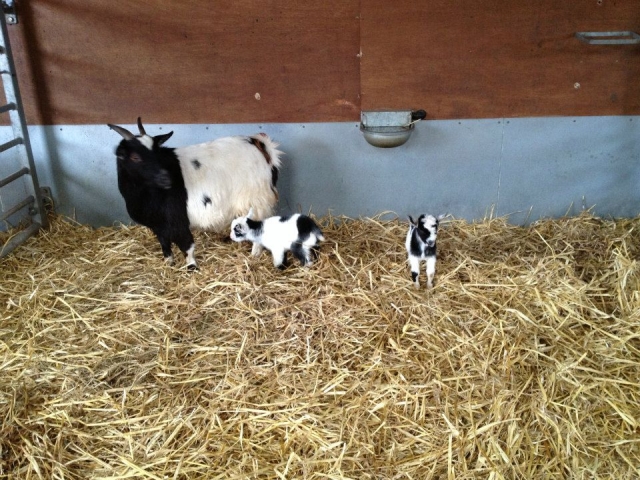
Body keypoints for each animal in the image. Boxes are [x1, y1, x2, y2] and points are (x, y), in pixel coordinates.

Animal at [108, 118, 282, 270]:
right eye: (135, 157)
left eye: (158, 153)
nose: (166, 178)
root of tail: (261, 144)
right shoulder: (159, 226)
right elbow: (165, 245)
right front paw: (169, 264)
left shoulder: (178, 220)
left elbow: (187, 246)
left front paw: (192, 267)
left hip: (257, 202)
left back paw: (254, 255)